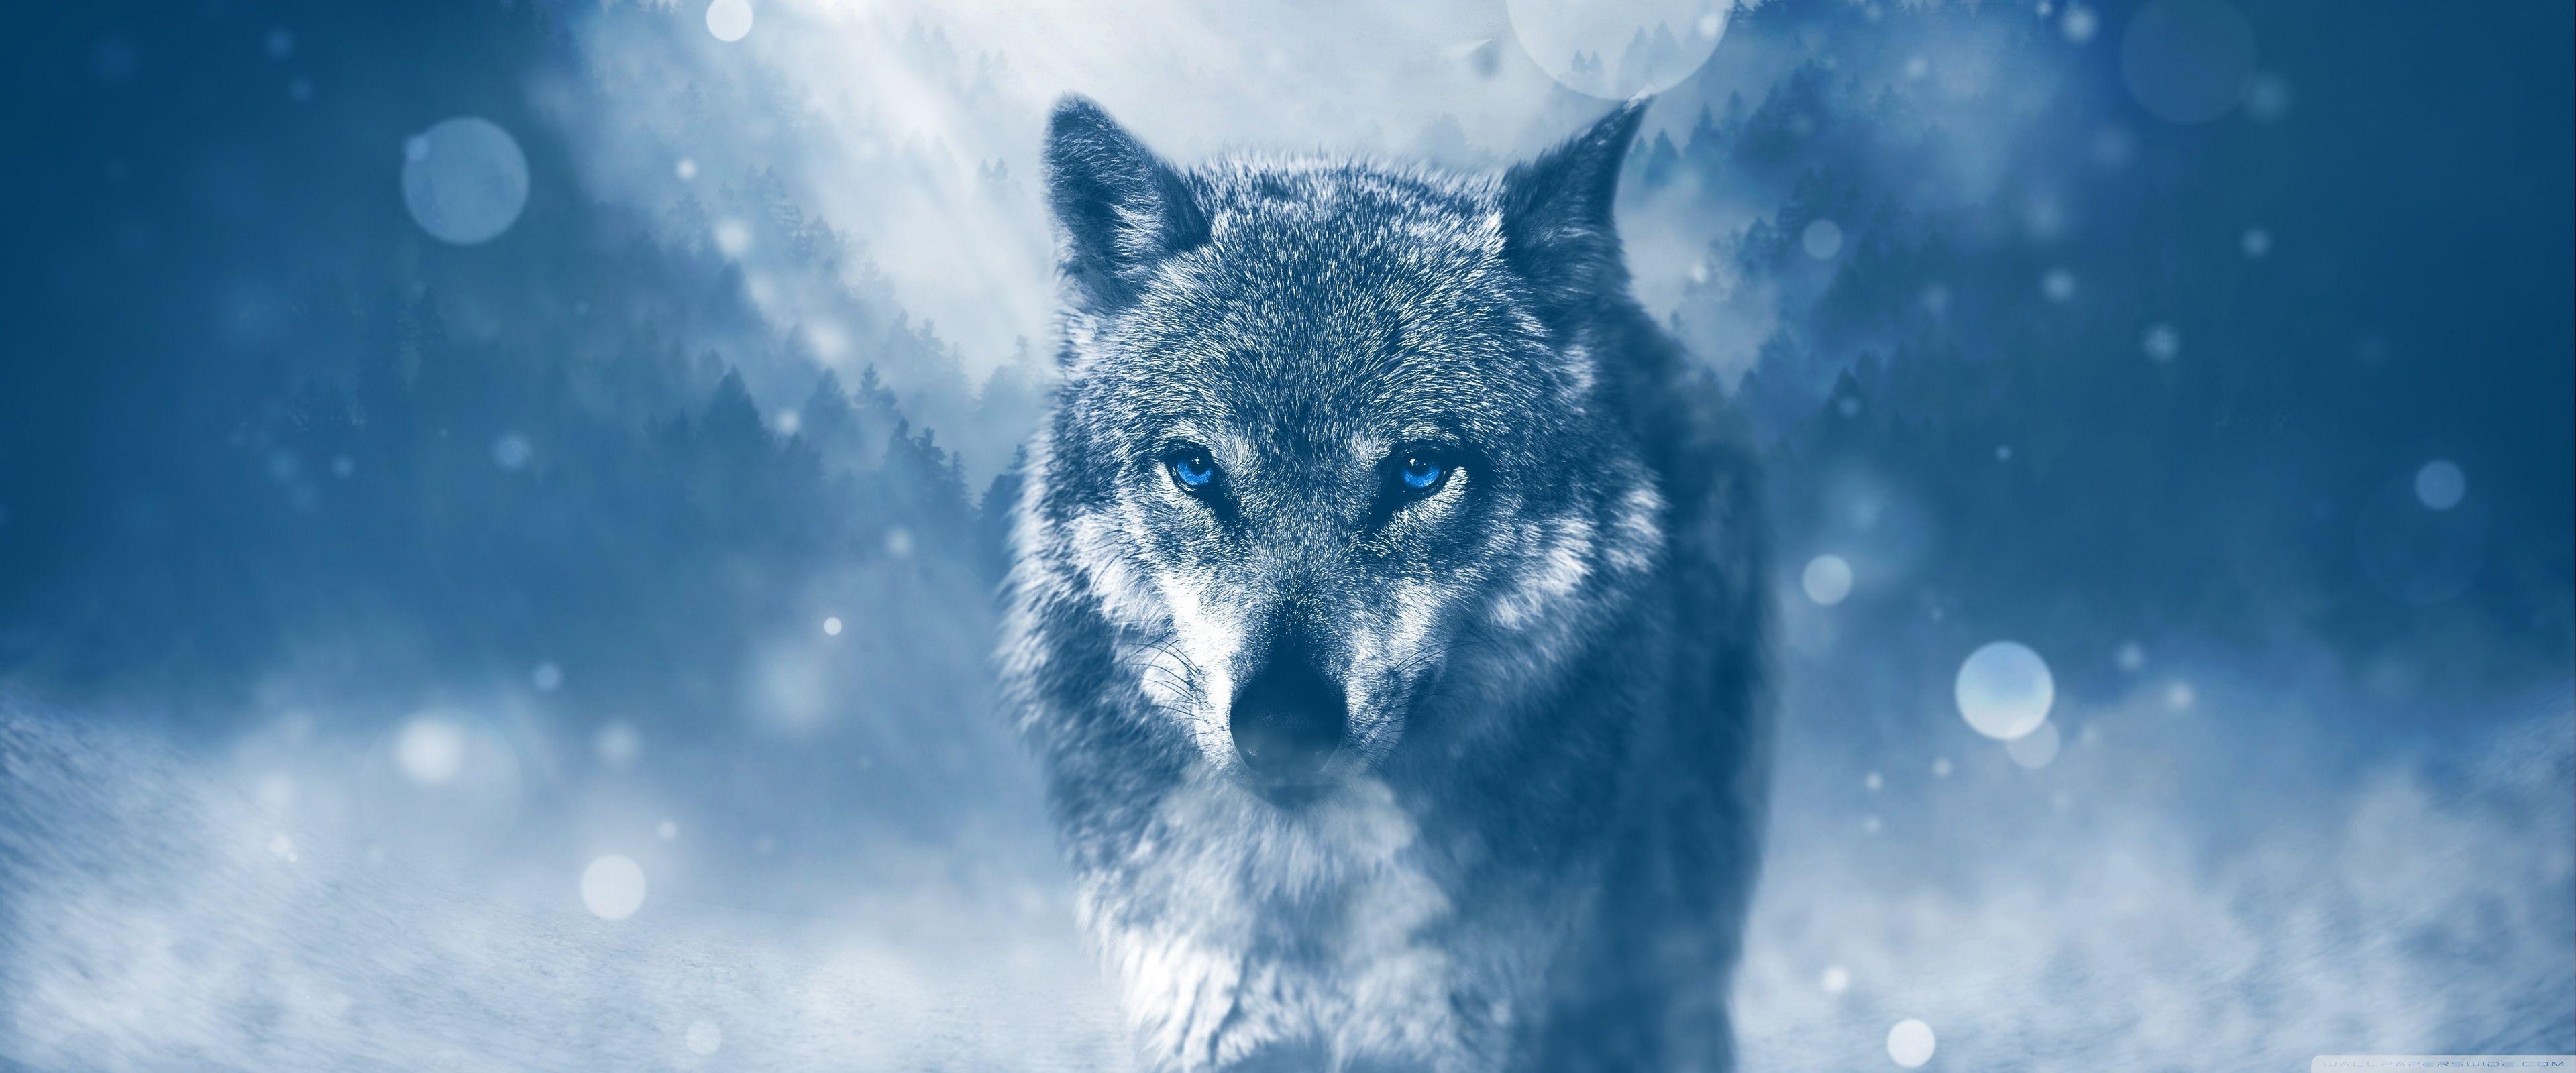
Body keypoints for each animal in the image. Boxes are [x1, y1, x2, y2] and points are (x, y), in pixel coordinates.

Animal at [1000, 95, 1772, 1073]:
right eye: (1195, 468)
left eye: (1419, 470)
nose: (1284, 726)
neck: (1312, 895)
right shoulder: (1206, 1015)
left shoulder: (1450, 1024)